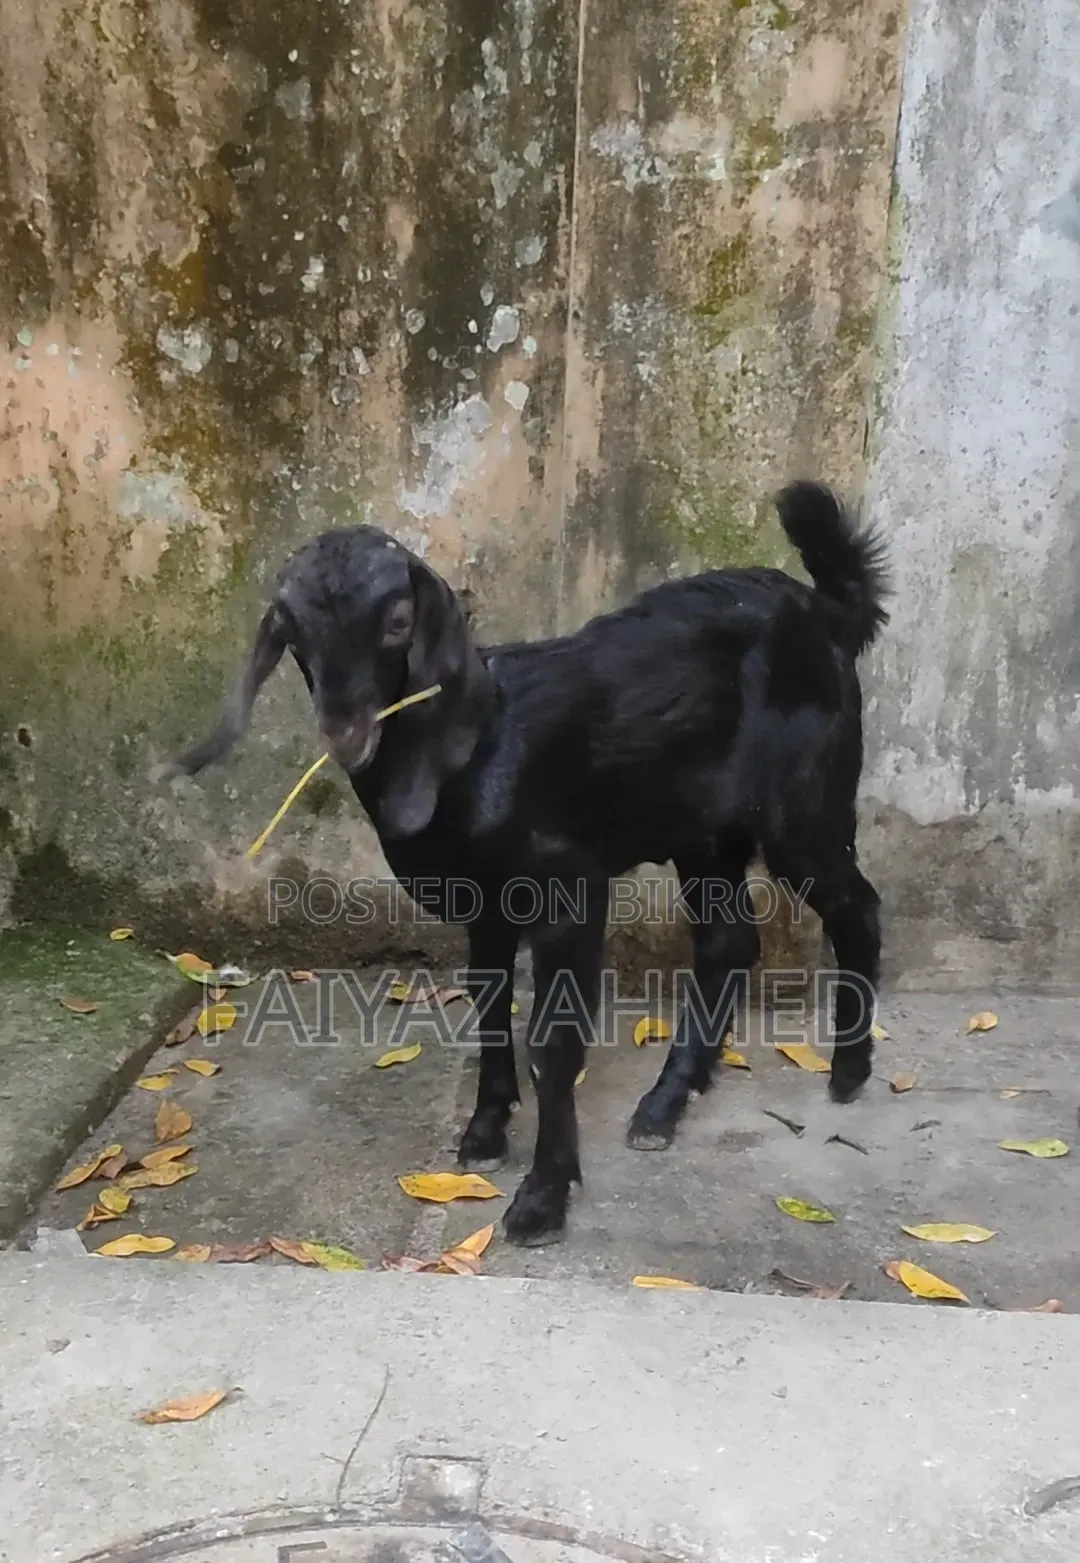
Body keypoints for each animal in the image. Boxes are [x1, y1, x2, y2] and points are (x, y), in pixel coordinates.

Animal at [169, 481, 889, 1246]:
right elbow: (488, 1006)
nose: (346, 732)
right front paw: (485, 1130)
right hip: (702, 830)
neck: (480, 748)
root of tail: (829, 612)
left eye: (398, 621)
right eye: (291, 631)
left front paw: (542, 1198)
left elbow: (554, 1042)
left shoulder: (570, 892)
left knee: (854, 904)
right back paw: (665, 1103)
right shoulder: (482, 903)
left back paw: (847, 1072)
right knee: (729, 940)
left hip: (804, 800)